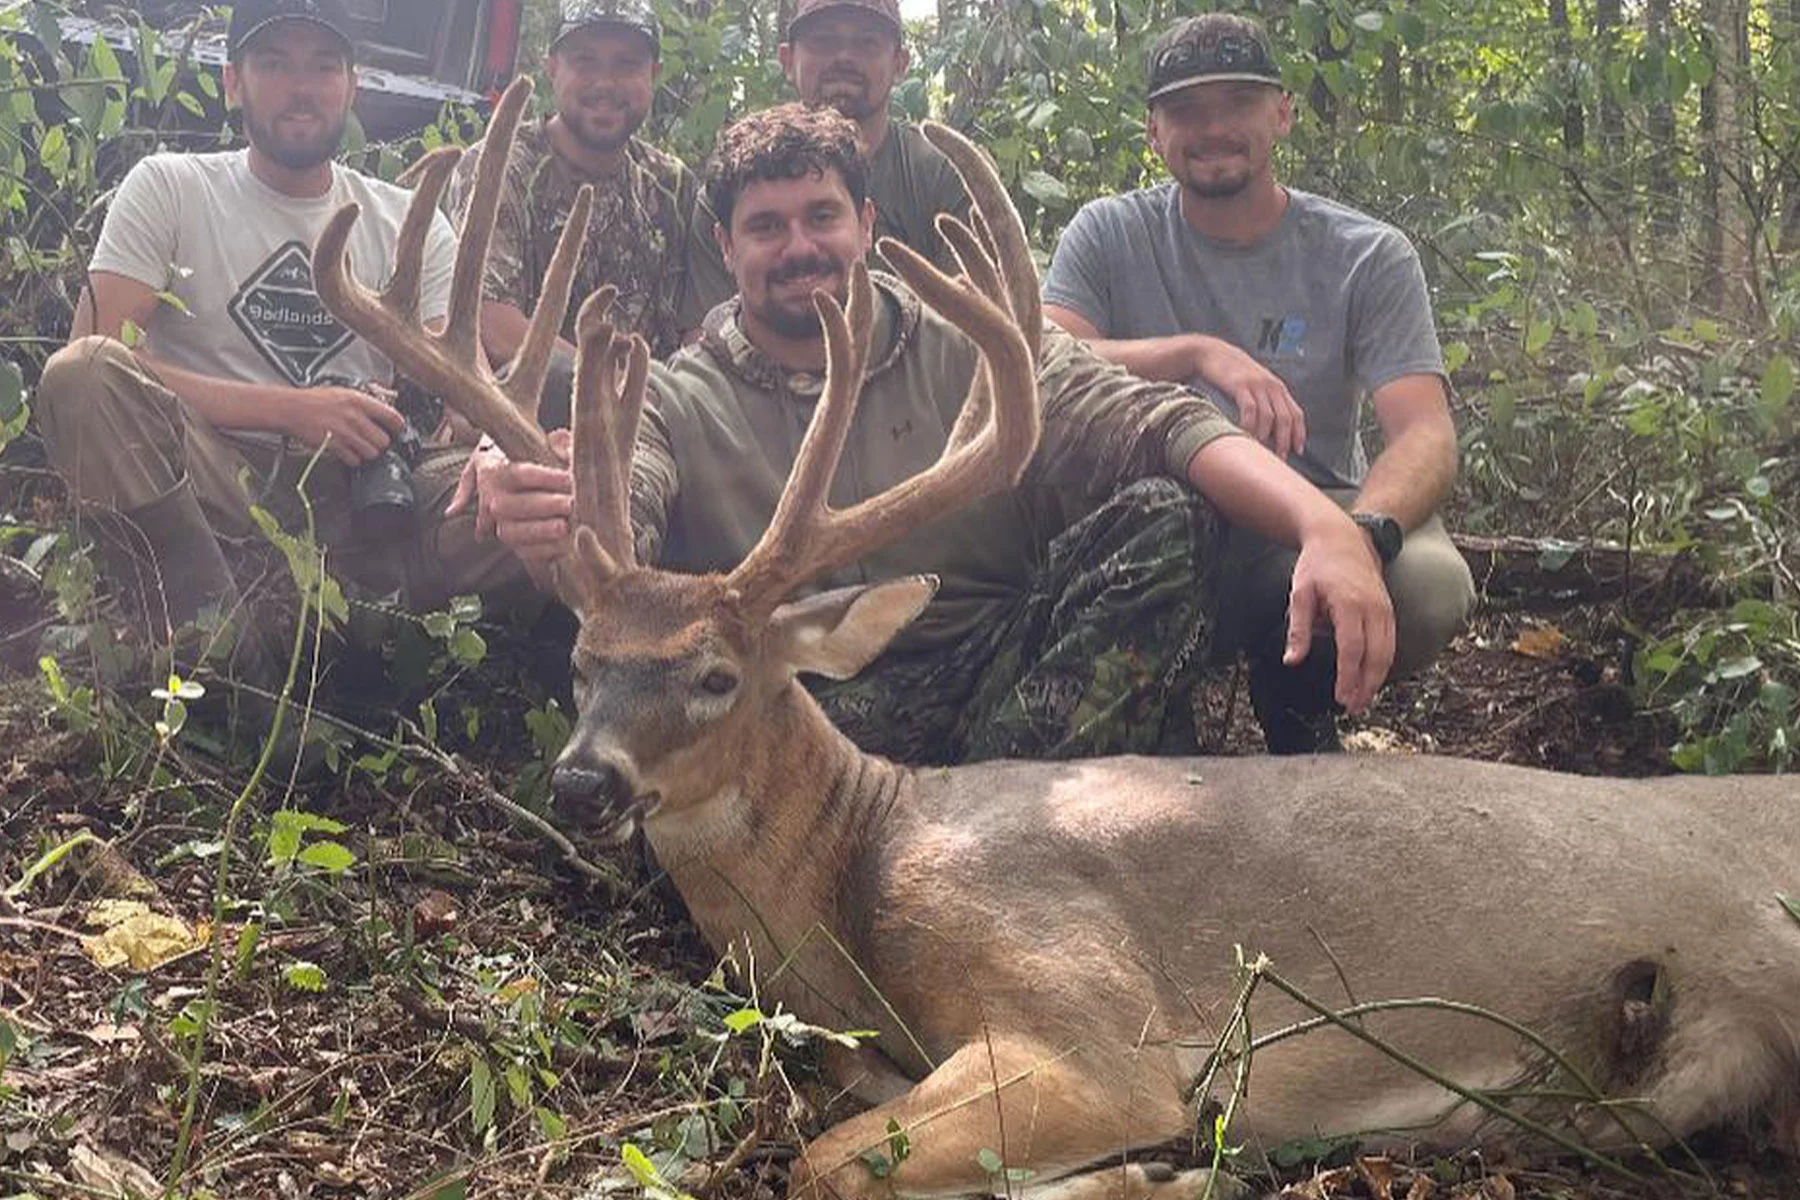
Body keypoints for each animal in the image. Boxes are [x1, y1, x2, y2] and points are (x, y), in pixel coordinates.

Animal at [316, 79, 1800, 1194]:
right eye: (583, 664)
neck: (860, 867)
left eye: (715, 674)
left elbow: (832, 1158)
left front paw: (1172, 1166)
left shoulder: (1092, 1021)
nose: (583, 780)